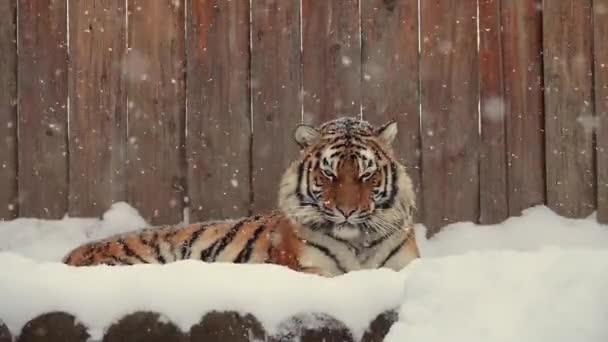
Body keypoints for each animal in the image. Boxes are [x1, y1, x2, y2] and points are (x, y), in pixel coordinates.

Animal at [64, 116, 420, 276]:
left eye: (366, 174)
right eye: (329, 173)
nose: (346, 211)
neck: (359, 243)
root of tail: (69, 255)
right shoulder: (306, 269)